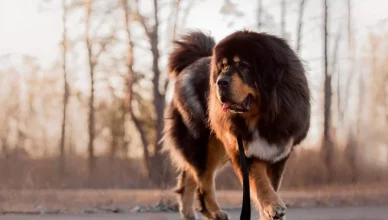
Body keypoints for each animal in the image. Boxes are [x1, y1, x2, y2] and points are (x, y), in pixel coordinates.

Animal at [162, 29, 310, 220]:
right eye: (223, 67)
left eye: (243, 65)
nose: (220, 82)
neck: (264, 116)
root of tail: (191, 63)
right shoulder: (244, 149)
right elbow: (260, 181)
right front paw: (273, 206)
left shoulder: (279, 151)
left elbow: (271, 184)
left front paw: (268, 212)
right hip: (204, 143)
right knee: (204, 180)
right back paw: (215, 212)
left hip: (216, 147)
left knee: (190, 176)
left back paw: (191, 213)